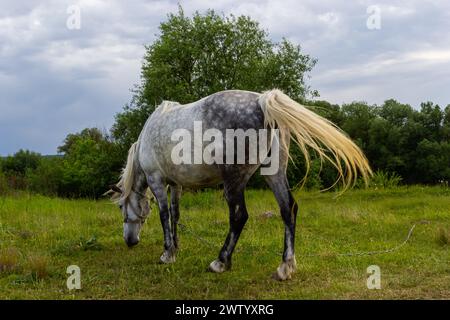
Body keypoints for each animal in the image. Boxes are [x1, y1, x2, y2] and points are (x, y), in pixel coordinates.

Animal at [110, 90, 370, 280]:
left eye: (121, 208)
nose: (130, 241)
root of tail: (261, 101)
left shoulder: (157, 180)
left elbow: (164, 215)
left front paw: (167, 254)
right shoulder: (176, 184)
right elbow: (175, 214)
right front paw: (176, 246)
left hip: (234, 182)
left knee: (239, 216)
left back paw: (220, 262)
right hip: (274, 173)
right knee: (288, 210)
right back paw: (285, 267)